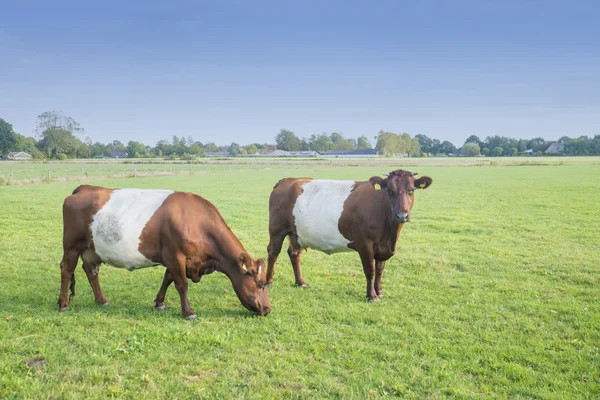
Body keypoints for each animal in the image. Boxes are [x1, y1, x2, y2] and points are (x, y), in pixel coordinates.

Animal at [56, 184, 272, 318]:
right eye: (261, 284)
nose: (268, 309)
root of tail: (85, 188)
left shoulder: (175, 258)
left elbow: (167, 279)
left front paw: (159, 303)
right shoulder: (175, 255)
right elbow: (182, 284)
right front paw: (188, 312)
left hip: (91, 249)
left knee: (91, 271)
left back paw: (102, 301)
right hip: (72, 246)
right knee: (66, 270)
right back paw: (63, 304)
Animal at [268, 170, 432, 302]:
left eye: (411, 190)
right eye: (390, 191)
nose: (401, 215)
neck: (390, 234)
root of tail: (289, 180)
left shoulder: (383, 246)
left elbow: (380, 270)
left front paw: (379, 292)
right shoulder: (365, 244)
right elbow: (370, 271)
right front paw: (372, 296)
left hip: (297, 234)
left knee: (294, 253)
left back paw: (300, 282)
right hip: (277, 230)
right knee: (273, 252)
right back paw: (269, 281)